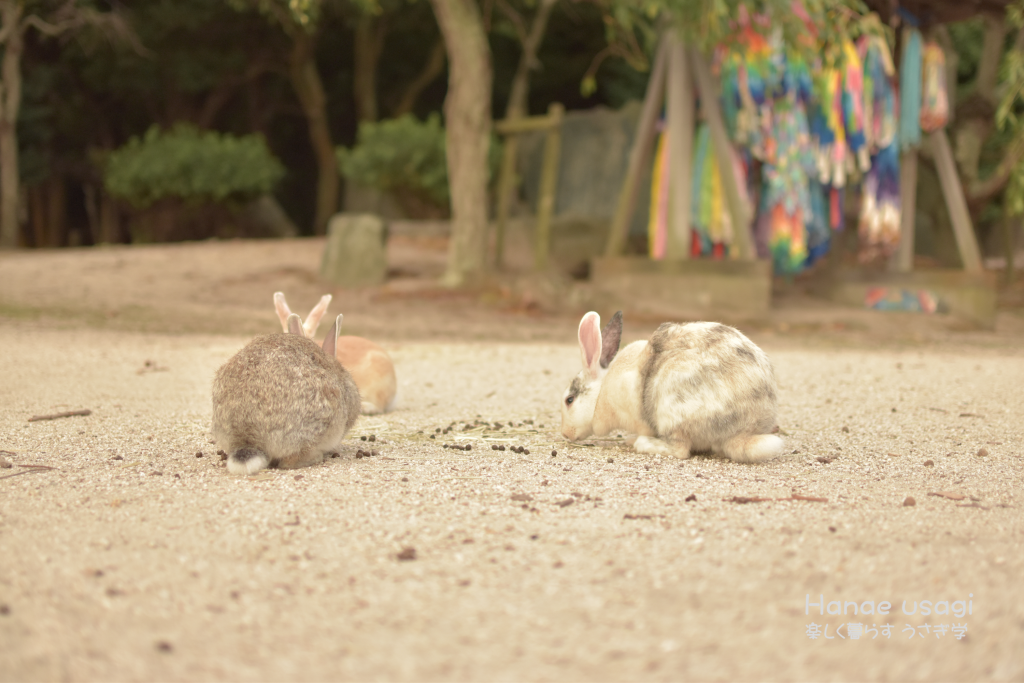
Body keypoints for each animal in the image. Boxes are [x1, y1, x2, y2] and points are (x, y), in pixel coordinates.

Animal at [561, 311, 782, 464]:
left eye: (569, 400)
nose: (565, 434)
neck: (602, 391)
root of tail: (743, 430)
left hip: (671, 409)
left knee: (680, 449)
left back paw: (638, 443)